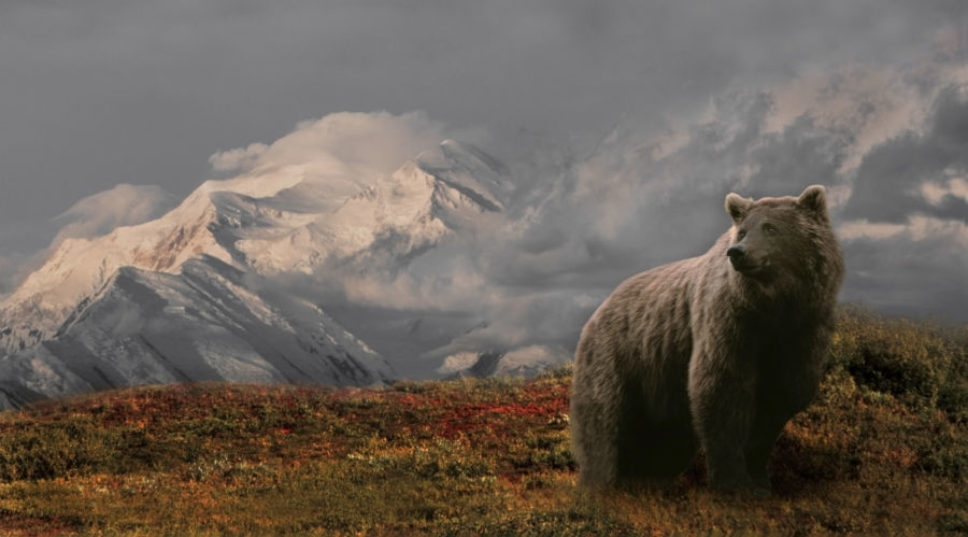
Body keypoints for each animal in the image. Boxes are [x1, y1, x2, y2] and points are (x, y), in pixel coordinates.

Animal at [569, 185, 844, 493]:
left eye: (770, 227)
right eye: (743, 231)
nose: (737, 252)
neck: (772, 306)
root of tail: (599, 310)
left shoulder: (802, 331)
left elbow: (778, 400)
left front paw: (760, 481)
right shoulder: (729, 323)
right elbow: (721, 390)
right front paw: (734, 484)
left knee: (664, 439)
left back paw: (646, 479)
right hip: (619, 354)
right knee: (603, 419)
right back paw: (599, 483)